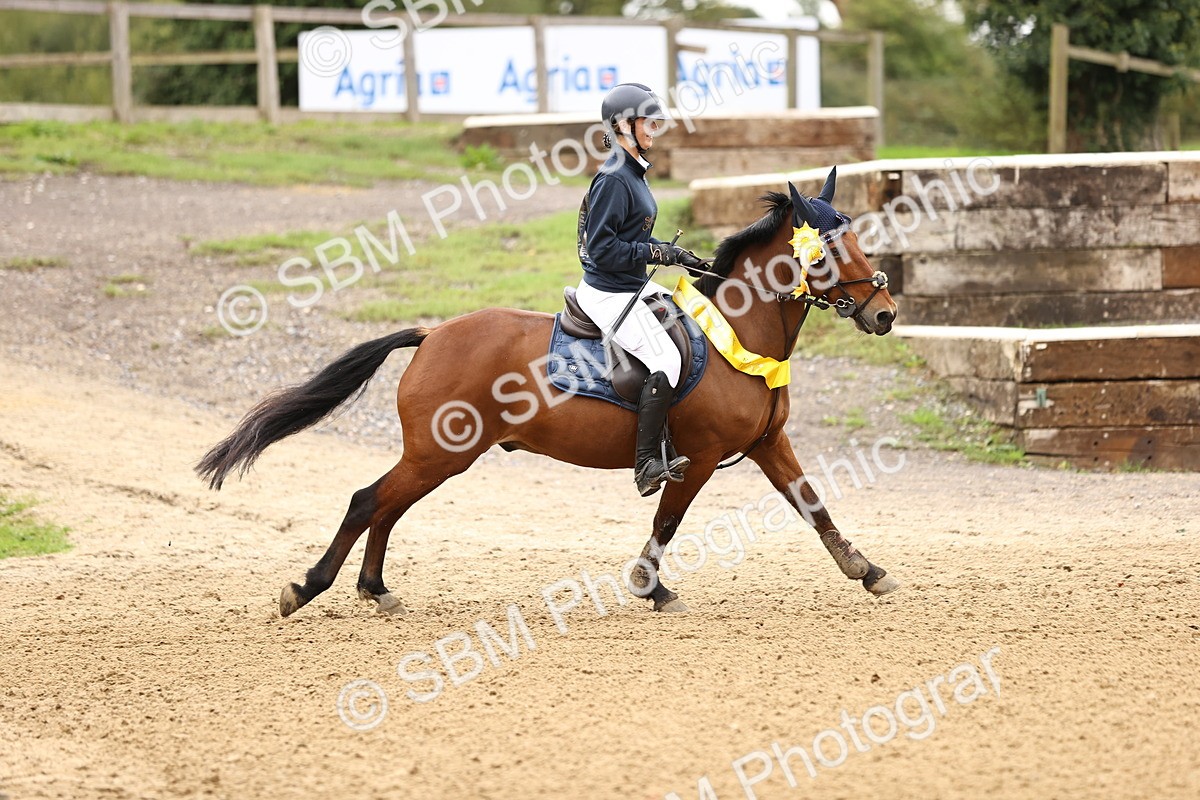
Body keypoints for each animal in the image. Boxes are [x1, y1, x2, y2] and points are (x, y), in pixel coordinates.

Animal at [196, 167, 901, 617]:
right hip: (441, 453)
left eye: (860, 240)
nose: (886, 313)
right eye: (826, 251)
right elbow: (667, 519)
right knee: (368, 500)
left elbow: (814, 506)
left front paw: (866, 570)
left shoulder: (767, 443)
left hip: (438, 458)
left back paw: (374, 589)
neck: (738, 332)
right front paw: (649, 587)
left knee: (386, 506)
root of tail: (433, 334)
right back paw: (309, 588)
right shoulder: (697, 457)